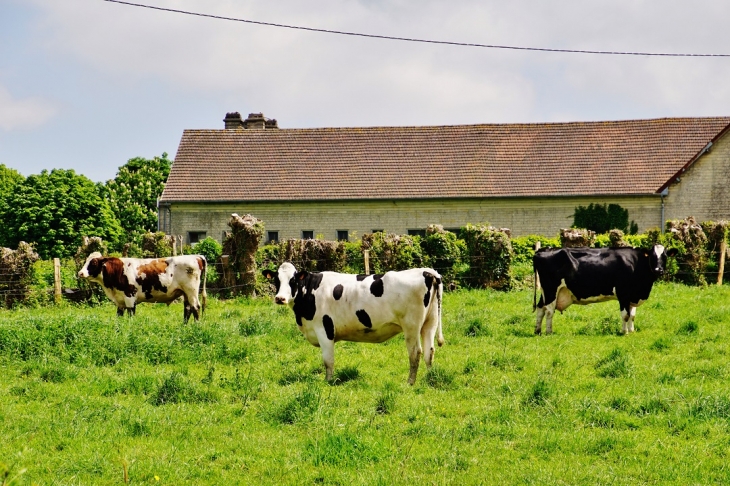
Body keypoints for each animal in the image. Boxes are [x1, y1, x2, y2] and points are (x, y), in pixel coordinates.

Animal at [78, 251, 206, 322]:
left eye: (94, 262)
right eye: (86, 261)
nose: (80, 273)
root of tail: (197, 256)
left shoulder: (130, 297)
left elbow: (131, 315)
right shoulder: (120, 301)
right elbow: (119, 316)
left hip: (191, 291)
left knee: (196, 307)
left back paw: (196, 326)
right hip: (185, 293)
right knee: (188, 309)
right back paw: (184, 326)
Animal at [264, 264, 444, 386]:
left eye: (293, 280)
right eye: (276, 279)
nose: (280, 298)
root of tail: (427, 271)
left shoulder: (324, 330)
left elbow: (328, 360)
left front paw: (328, 382)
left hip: (411, 325)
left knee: (416, 353)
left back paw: (410, 382)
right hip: (430, 322)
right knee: (429, 351)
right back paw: (430, 378)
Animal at [528, 245, 676, 336]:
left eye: (665, 256)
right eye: (652, 256)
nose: (658, 270)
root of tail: (542, 250)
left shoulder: (633, 295)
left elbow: (632, 315)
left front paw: (631, 330)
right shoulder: (623, 294)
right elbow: (625, 315)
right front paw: (624, 332)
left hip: (546, 291)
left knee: (540, 308)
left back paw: (538, 331)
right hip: (551, 289)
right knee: (549, 311)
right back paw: (549, 332)